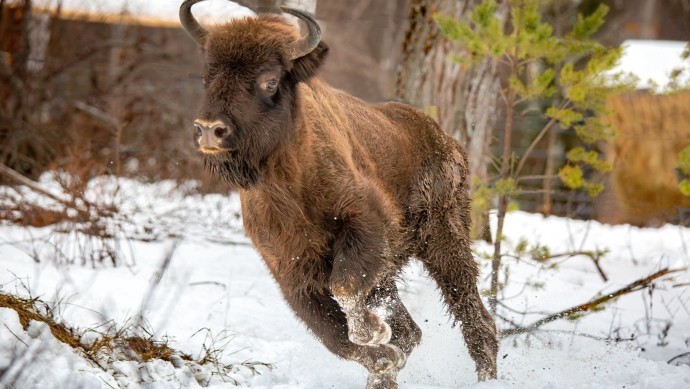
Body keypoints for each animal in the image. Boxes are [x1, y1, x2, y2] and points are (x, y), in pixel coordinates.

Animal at [179, 1, 494, 386]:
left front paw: (374, 335)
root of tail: (445, 140)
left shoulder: (364, 226)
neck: (287, 184)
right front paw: (385, 356)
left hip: (445, 238)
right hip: (393, 271)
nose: (210, 129)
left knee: (476, 319)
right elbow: (334, 336)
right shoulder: (291, 274)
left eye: (270, 81)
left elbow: (344, 290)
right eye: (207, 76)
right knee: (411, 329)